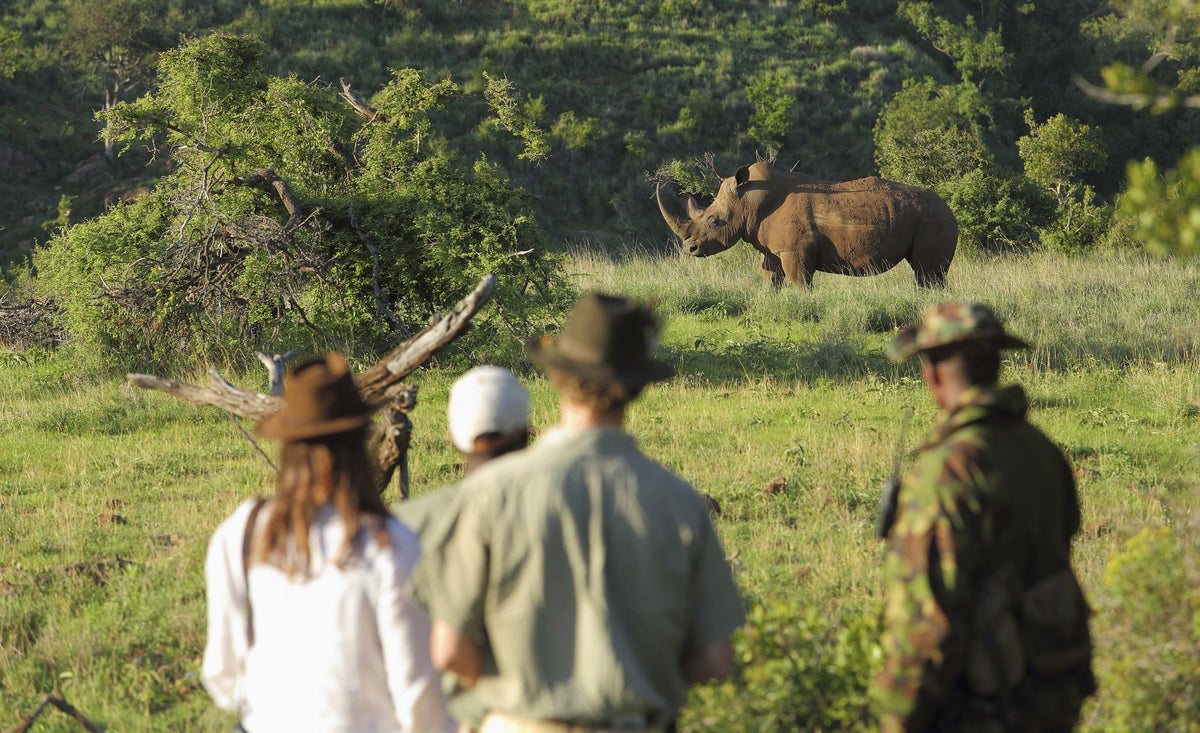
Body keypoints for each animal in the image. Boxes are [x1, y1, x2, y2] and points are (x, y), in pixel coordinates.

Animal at [657, 162, 958, 288]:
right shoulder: (774, 250)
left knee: (928, 273)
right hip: (929, 217)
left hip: (934, 219)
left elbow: (800, 282)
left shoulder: (794, 251)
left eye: (714, 221)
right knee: (926, 274)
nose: (690, 249)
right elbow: (770, 278)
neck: (749, 201)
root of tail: (950, 208)